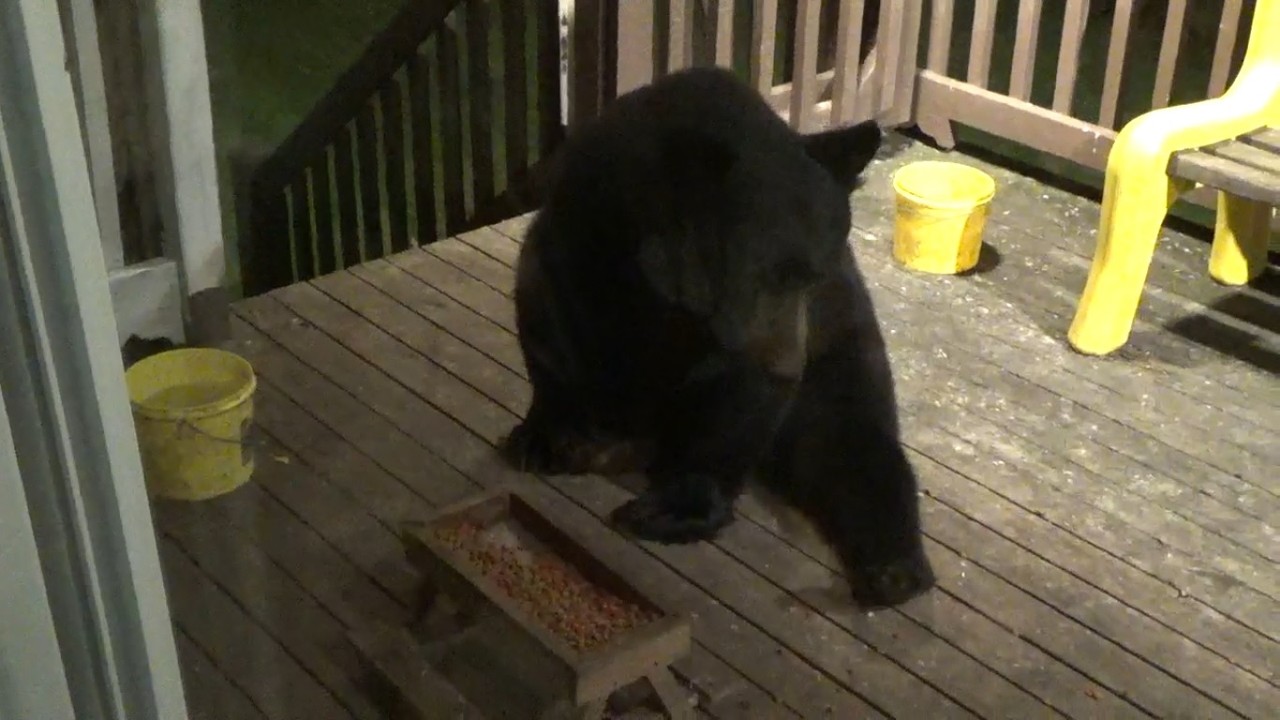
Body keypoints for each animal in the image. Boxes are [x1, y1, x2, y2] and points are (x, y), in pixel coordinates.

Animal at [501, 67, 935, 609]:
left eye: (812, 273)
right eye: (768, 273)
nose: (790, 366)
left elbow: (732, 413)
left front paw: (669, 509)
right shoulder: (579, 237)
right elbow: (553, 324)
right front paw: (548, 438)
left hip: (842, 340)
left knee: (850, 439)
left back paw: (893, 569)